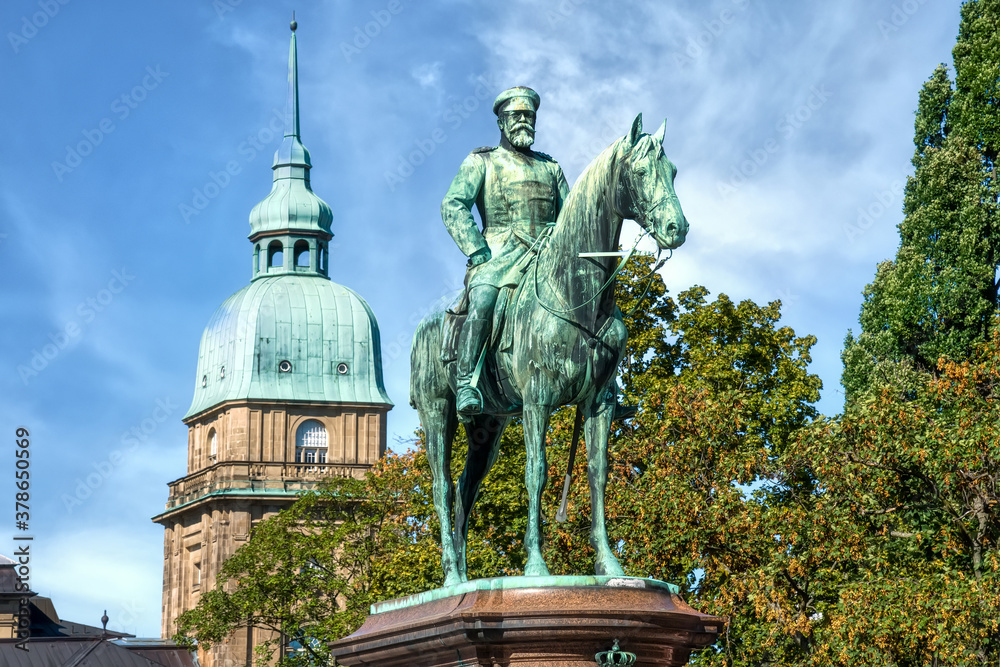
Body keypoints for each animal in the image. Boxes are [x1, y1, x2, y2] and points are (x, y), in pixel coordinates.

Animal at [408, 113, 688, 584]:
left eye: (673, 171)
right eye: (639, 171)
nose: (676, 228)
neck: (576, 292)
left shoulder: (598, 402)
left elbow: (597, 474)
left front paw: (608, 561)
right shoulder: (537, 400)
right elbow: (535, 472)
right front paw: (536, 565)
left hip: (489, 425)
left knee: (466, 489)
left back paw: (463, 574)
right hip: (436, 411)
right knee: (442, 486)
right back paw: (451, 577)